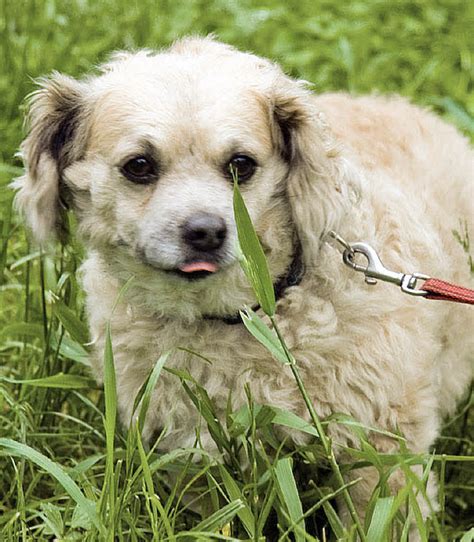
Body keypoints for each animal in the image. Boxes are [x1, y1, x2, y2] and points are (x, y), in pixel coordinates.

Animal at [12, 37, 472, 528]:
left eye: (240, 164)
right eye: (139, 165)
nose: (205, 232)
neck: (244, 317)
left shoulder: (386, 450)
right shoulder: (191, 451)